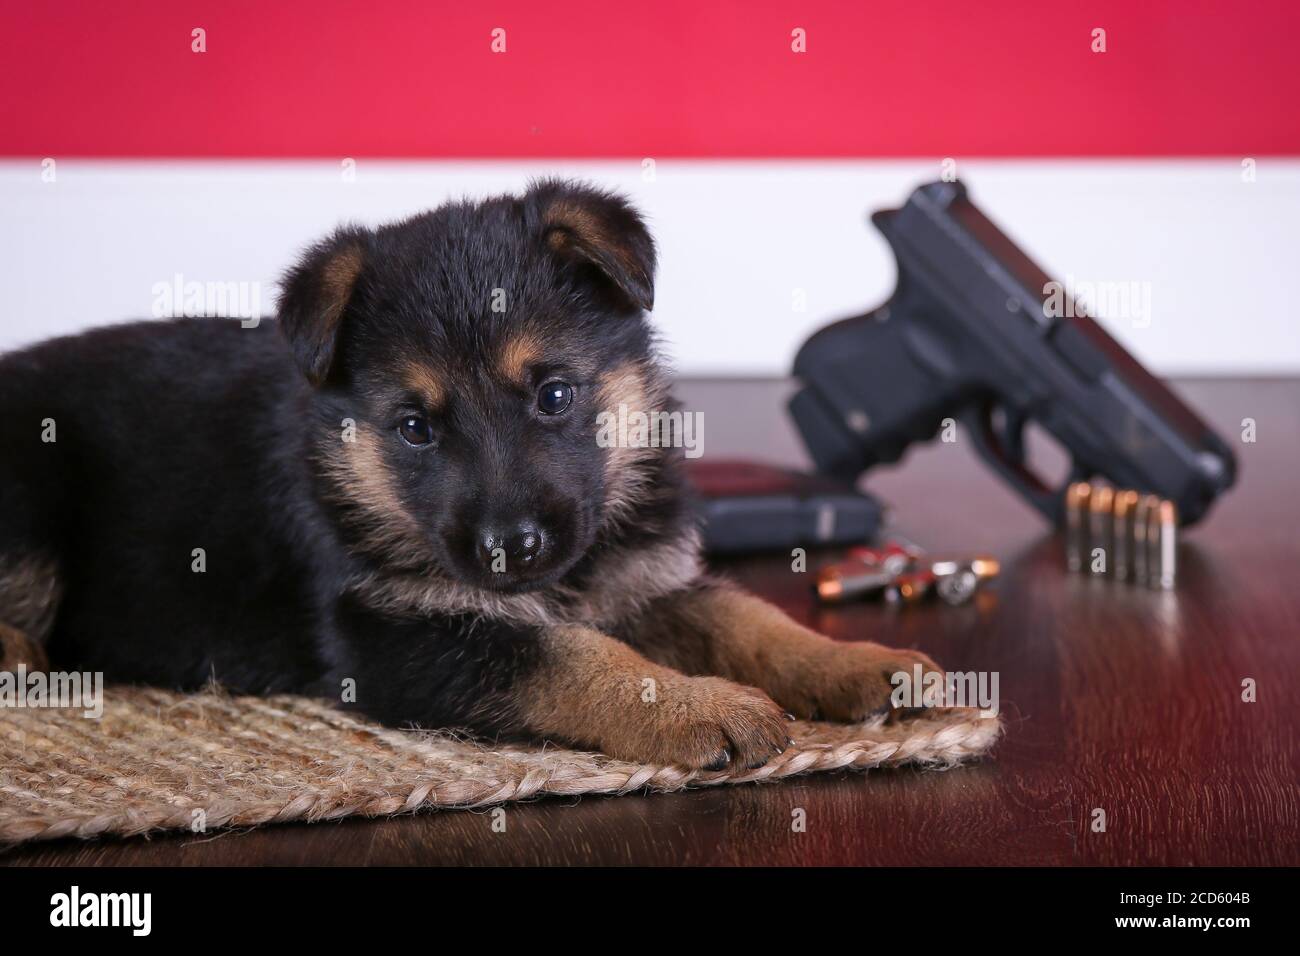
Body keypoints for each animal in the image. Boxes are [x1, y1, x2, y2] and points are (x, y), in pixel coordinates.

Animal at [0, 180, 935, 770]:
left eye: (554, 395)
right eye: (415, 429)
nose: (508, 550)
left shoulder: (644, 580)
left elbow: (748, 618)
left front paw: (857, 661)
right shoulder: (393, 635)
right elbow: (568, 651)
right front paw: (698, 705)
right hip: (32, 493)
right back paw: (20, 661)